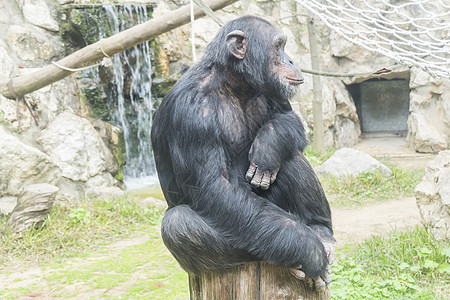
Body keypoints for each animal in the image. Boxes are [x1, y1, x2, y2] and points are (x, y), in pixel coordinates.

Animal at [151, 15, 334, 288]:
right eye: (278, 47)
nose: (291, 60)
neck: (235, 84)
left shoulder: (275, 92)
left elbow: (289, 118)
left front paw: (268, 145)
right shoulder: (191, 114)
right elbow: (217, 187)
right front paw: (309, 250)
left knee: (291, 158)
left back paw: (320, 229)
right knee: (178, 223)